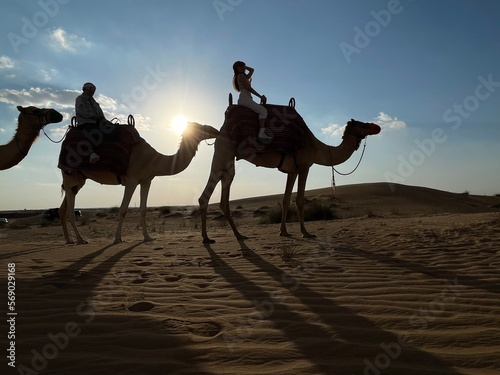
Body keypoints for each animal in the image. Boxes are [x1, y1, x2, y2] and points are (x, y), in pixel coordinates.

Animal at [59, 123, 220, 245]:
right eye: (201, 127)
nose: (216, 130)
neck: (154, 160)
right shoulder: (131, 180)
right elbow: (123, 209)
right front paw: (117, 239)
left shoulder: (146, 180)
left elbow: (143, 209)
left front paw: (148, 237)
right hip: (70, 176)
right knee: (70, 210)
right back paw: (80, 239)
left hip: (79, 180)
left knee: (64, 207)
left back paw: (69, 240)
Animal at [197, 113, 380, 245]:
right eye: (363, 125)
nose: (377, 127)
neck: (318, 148)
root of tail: (219, 132)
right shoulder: (305, 166)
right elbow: (299, 200)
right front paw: (306, 233)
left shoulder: (292, 171)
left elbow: (286, 200)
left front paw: (283, 231)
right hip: (223, 154)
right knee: (205, 195)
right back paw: (207, 238)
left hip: (228, 163)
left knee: (224, 194)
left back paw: (239, 235)